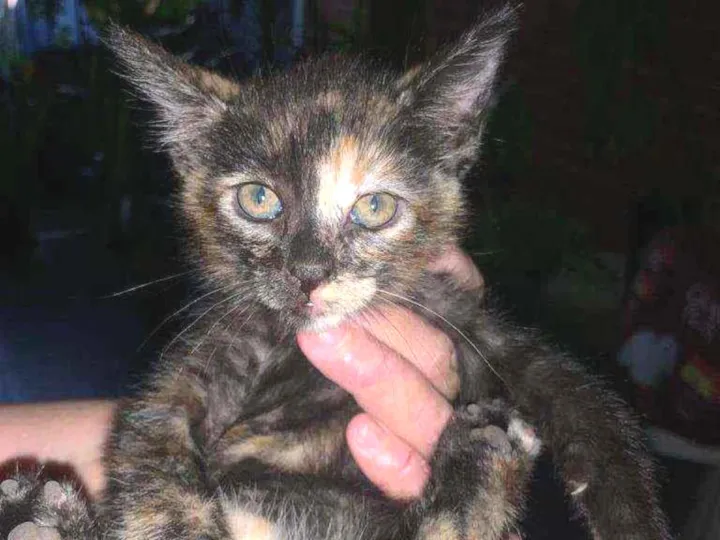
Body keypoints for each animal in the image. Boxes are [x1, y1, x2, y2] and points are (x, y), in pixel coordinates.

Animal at [0, 4, 670, 539]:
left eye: (374, 208)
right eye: (258, 200)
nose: (308, 273)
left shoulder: (468, 320)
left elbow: (590, 414)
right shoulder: (200, 358)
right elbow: (154, 454)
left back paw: (482, 461)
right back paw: (40, 515)